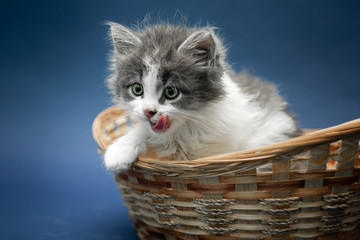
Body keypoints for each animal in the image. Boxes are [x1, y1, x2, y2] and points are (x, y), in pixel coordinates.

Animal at [104, 22, 300, 172]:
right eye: (137, 89)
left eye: (171, 92)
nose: (148, 111)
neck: (181, 132)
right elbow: (142, 131)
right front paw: (118, 151)